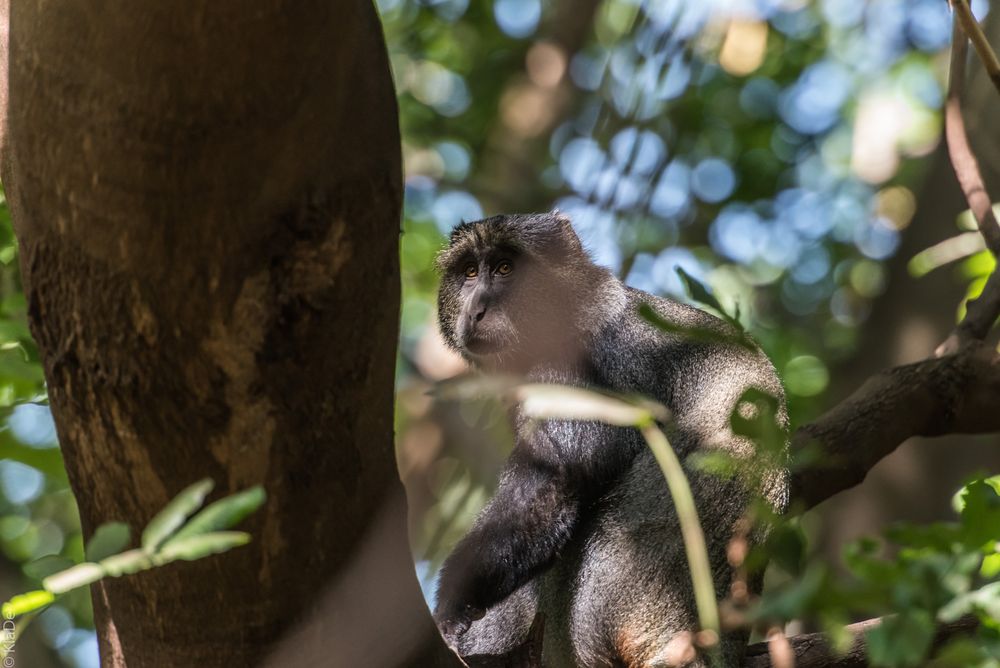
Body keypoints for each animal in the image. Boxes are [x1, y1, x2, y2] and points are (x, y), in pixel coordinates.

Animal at [432, 214, 788, 668]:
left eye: (505, 268)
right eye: (469, 272)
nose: (476, 310)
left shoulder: (575, 372)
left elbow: (555, 484)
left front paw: (450, 611)